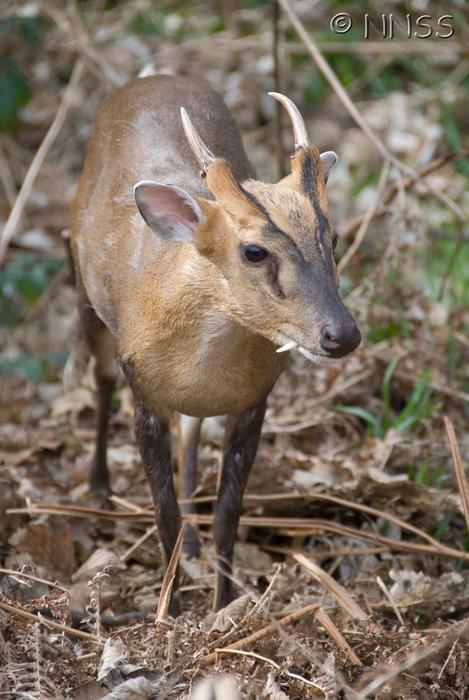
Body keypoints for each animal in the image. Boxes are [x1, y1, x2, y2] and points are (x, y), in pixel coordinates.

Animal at [71, 74, 360, 616]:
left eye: (332, 239)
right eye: (254, 251)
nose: (342, 334)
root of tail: (155, 77)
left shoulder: (254, 400)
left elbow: (228, 513)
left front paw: (223, 603)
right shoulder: (143, 389)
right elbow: (163, 515)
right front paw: (170, 611)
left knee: (190, 431)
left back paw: (193, 542)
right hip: (82, 288)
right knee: (99, 379)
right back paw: (98, 487)